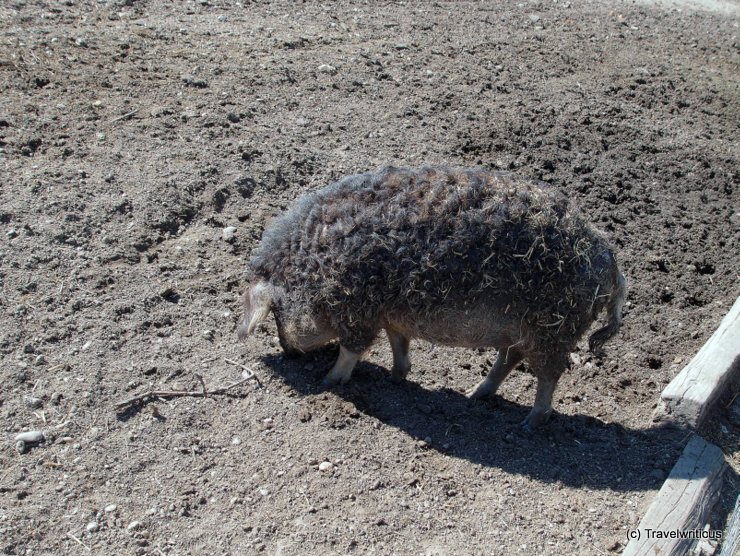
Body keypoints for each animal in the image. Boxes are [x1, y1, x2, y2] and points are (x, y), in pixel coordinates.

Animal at [240, 165, 628, 430]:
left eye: (276, 312)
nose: (288, 351)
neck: (317, 269)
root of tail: (610, 261)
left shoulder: (358, 311)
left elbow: (351, 351)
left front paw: (327, 382)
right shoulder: (390, 313)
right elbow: (398, 344)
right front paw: (396, 378)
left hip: (554, 330)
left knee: (548, 376)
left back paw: (527, 424)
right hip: (524, 332)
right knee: (509, 360)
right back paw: (473, 394)